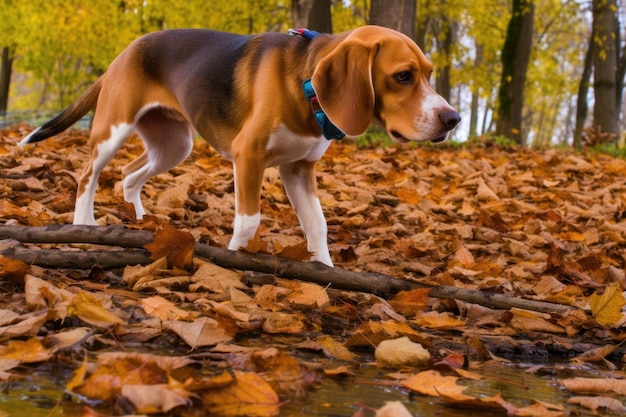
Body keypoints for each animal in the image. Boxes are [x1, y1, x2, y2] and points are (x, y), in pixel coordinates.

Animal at [20, 26, 458, 264]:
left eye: (429, 74)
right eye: (403, 76)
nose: (452, 119)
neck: (304, 84)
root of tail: (124, 52)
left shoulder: (298, 170)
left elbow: (318, 224)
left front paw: (327, 270)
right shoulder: (249, 156)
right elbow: (248, 221)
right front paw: (236, 260)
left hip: (174, 143)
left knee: (128, 175)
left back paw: (142, 221)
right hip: (114, 130)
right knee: (87, 175)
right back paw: (83, 224)